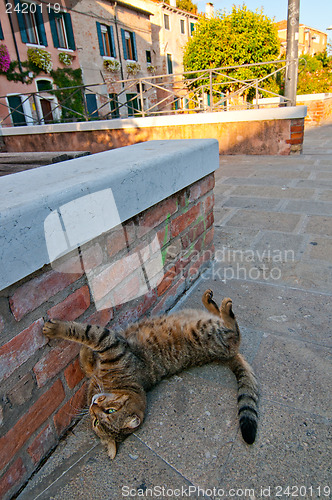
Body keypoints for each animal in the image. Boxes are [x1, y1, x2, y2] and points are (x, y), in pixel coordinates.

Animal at [42, 290, 258, 458]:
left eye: (109, 412)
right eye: (95, 422)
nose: (93, 407)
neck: (116, 385)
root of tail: (226, 356)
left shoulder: (110, 343)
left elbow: (84, 332)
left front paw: (56, 329)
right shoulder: (97, 367)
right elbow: (87, 364)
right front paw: (84, 353)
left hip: (208, 332)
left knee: (234, 331)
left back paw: (224, 308)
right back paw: (210, 302)